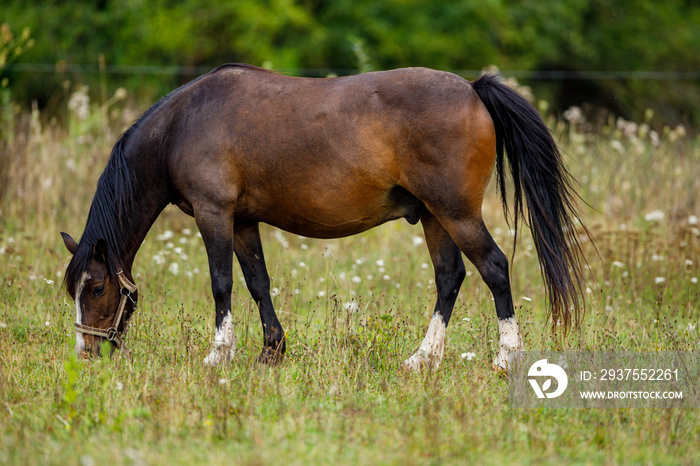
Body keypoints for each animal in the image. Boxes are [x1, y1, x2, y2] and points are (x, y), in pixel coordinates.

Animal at [60, 64, 588, 372]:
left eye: (97, 288)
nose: (86, 353)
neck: (182, 125)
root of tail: (473, 89)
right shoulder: (243, 221)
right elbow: (257, 282)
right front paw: (271, 352)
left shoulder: (215, 214)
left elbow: (221, 284)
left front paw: (218, 354)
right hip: (436, 218)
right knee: (449, 277)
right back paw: (422, 359)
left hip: (456, 214)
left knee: (494, 269)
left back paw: (506, 358)